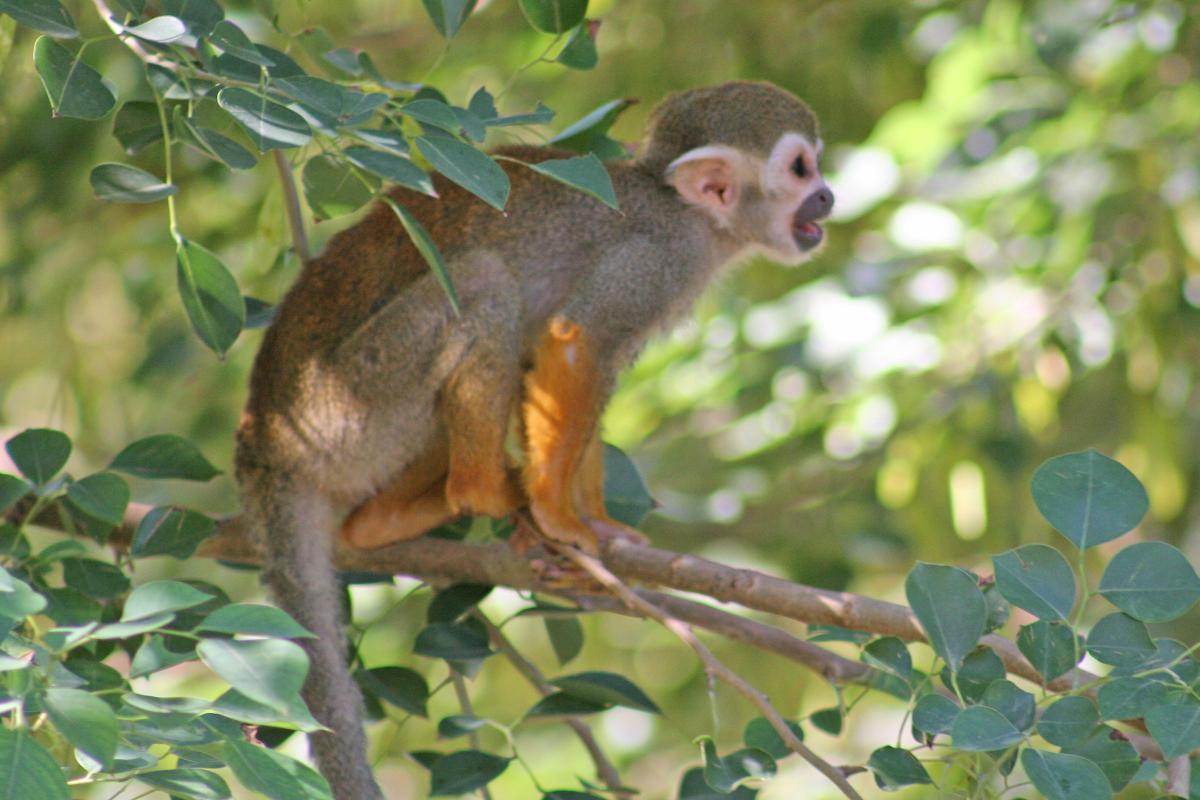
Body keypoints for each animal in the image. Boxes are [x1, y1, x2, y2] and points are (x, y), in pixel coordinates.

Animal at [235, 81, 833, 800]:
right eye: (800, 169)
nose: (828, 196)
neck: (685, 213)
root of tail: (264, 440)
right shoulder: (656, 260)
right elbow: (577, 340)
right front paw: (557, 514)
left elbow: (567, 364)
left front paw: (593, 525)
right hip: (347, 408)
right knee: (483, 282)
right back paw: (483, 491)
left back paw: (388, 522)